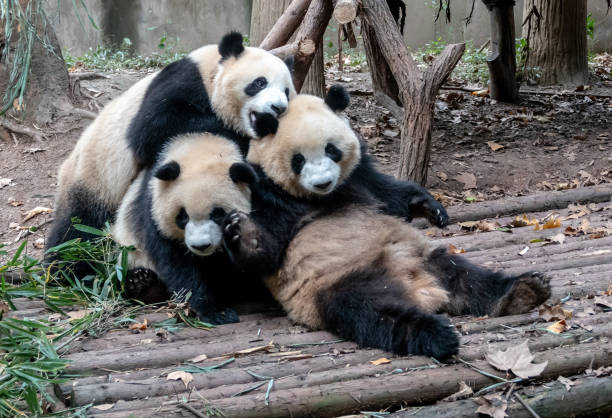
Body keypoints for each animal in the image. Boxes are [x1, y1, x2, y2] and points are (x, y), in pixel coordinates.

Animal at [110, 132, 258, 324]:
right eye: (183, 216)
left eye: (217, 214)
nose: (201, 246)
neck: (200, 145)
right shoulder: (153, 212)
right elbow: (178, 266)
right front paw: (216, 312)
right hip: (130, 251)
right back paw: (142, 283)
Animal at [222, 85, 552, 360]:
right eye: (298, 160)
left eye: (332, 150)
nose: (323, 182)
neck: (320, 198)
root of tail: (418, 286)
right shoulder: (267, 191)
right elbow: (268, 250)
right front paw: (239, 232)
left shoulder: (358, 176)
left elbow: (389, 194)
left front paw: (431, 209)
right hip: (334, 285)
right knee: (376, 314)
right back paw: (437, 335)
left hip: (423, 255)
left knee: (468, 276)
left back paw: (522, 291)